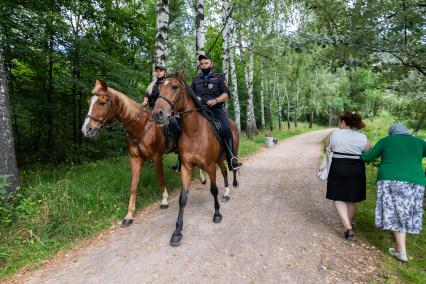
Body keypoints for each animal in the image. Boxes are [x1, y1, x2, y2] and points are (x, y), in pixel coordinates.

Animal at [81, 80, 180, 229]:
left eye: (102, 103)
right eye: (88, 102)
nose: (87, 129)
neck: (141, 127)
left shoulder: (157, 157)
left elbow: (160, 179)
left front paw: (164, 200)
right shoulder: (135, 159)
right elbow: (133, 187)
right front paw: (129, 215)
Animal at [152, 70, 240, 245]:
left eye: (174, 87)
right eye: (159, 87)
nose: (158, 114)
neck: (194, 132)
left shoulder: (210, 166)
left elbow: (213, 189)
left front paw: (217, 214)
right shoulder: (186, 167)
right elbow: (183, 198)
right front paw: (177, 231)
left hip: (230, 154)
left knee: (231, 169)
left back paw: (230, 187)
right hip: (219, 160)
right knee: (224, 171)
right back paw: (226, 193)